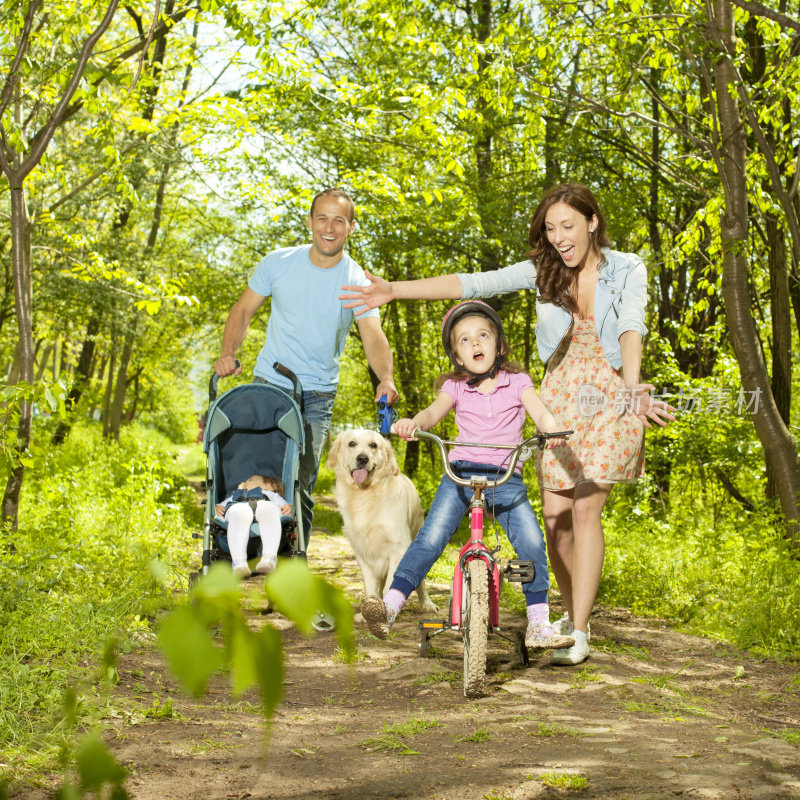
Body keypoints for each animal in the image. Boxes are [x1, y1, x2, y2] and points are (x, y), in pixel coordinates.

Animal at [326, 432, 438, 612]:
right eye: (351, 444)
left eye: (373, 445)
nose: (362, 459)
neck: (365, 493)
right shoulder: (362, 552)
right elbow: (371, 587)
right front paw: (371, 609)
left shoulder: (399, 547)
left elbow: (391, 586)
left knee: (419, 580)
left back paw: (427, 604)